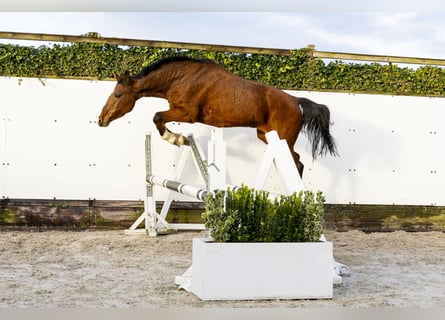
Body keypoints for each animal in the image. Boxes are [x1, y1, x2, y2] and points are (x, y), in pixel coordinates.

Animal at [98, 55, 336, 175]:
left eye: (118, 94)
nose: (101, 119)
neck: (180, 78)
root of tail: (296, 101)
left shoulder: (187, 114)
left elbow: (157, 117)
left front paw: (176, 139)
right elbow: (159, 118)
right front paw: (180, 138)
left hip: (284, 139)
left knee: (297, 164)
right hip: (267, 137)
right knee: (293, 162)